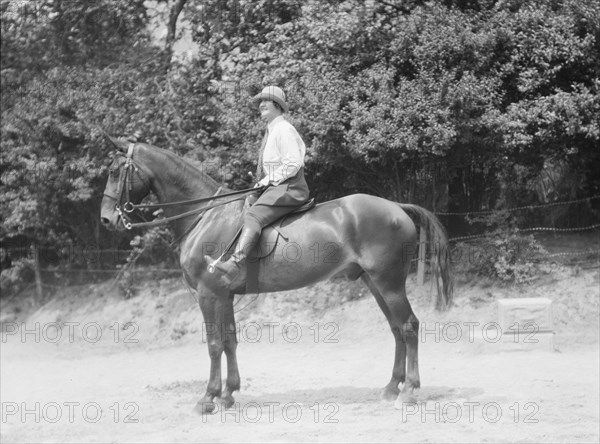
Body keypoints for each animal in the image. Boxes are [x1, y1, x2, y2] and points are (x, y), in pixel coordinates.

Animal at [101, 138, 452, 412]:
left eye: (116, 171)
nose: (106, 220)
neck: (205, 216)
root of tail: (397, 207)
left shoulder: (208, 293)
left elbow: (214, 343)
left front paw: (208, 398)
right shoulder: (224, 295)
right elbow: (229, 341)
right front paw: (228, 394)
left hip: (388, 282)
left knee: (409, 326)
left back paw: (409, 391)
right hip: (374, 282)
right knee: (396, 329)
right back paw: (392, 387)